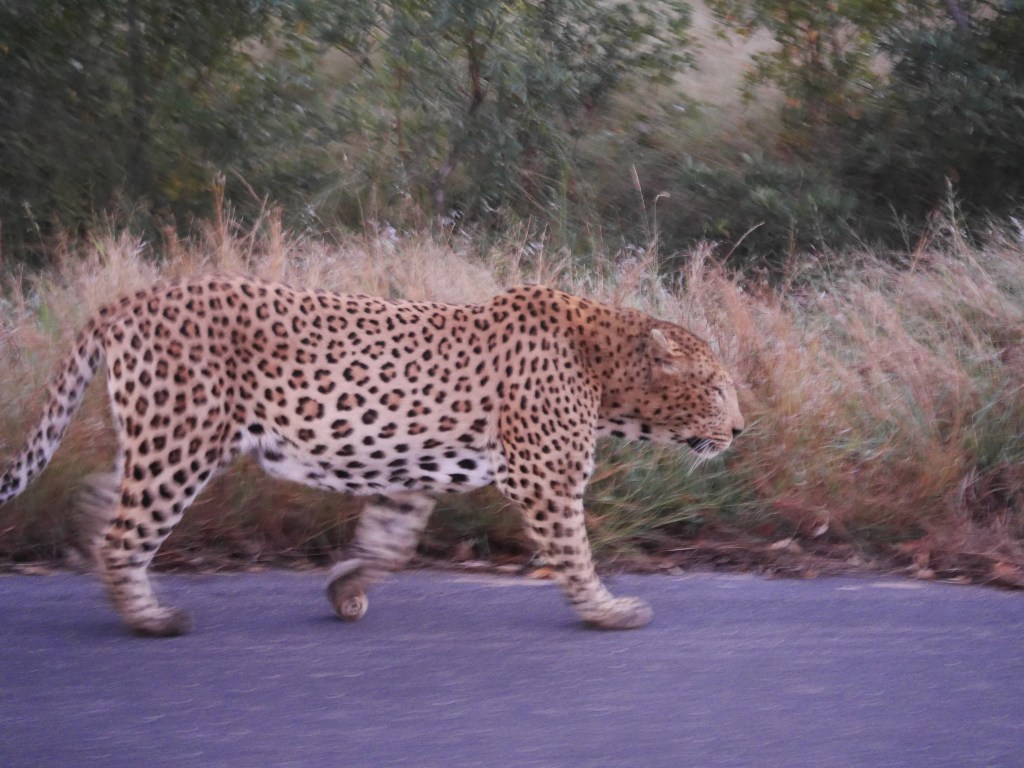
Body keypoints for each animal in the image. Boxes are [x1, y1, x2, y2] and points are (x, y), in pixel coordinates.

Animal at [0, 275, 744, 636]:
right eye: (715, 387)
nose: (740, 431)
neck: (609, 372)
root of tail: (128, 300)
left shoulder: (410, 474)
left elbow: (389, 544)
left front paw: (345, 590)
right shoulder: (546, 480)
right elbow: (575, 556)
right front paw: (606, 612)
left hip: (161, 439)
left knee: (104, 500)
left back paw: (97, 565)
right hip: (181, 440)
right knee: (126, 533)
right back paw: (150, 620)